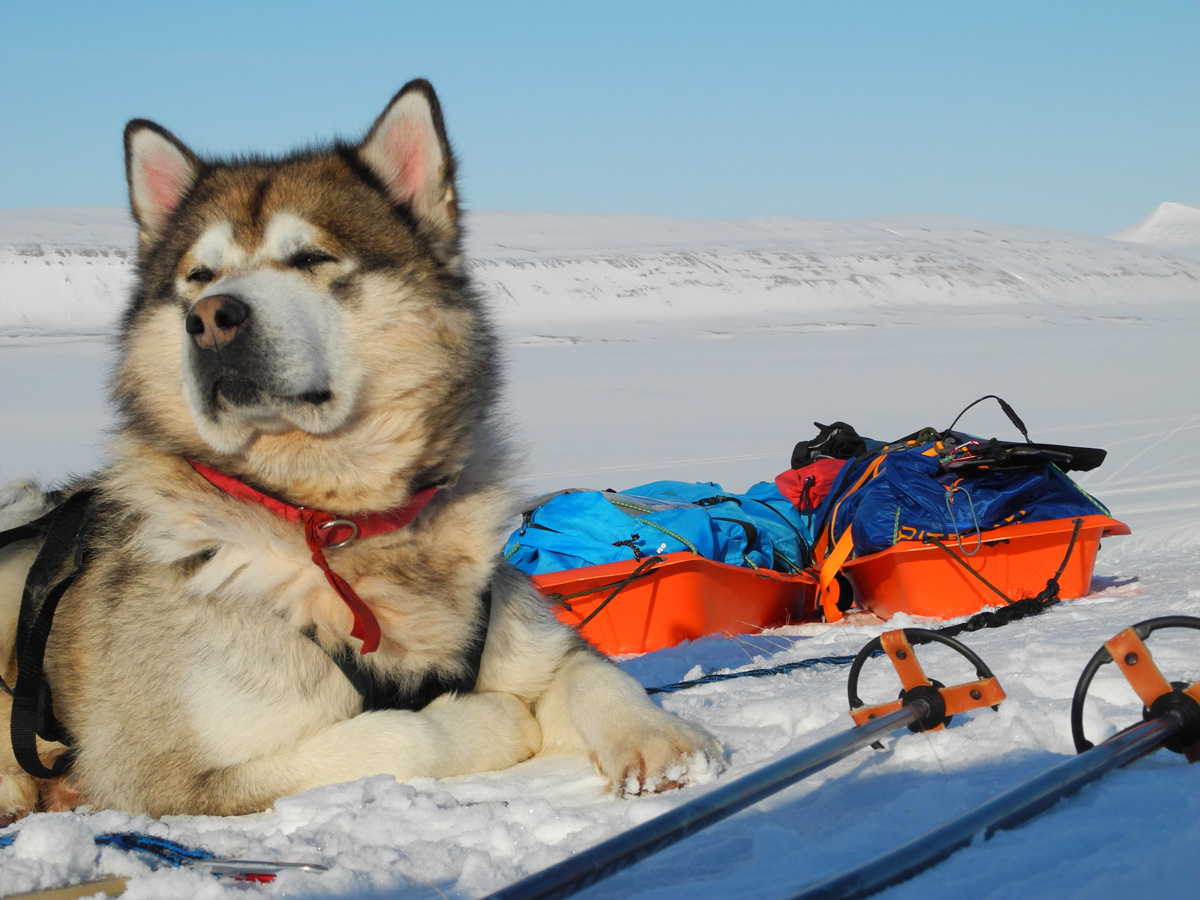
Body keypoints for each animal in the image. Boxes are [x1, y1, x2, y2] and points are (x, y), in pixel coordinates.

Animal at [0, 81, 715, 820]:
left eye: (312, 258)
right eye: (198, 276)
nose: (210, 320)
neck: (334, 522)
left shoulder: (527, 637)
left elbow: (591, 672)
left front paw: (659, 741)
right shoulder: (168, 777)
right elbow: (399, 735)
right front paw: (490, 719)